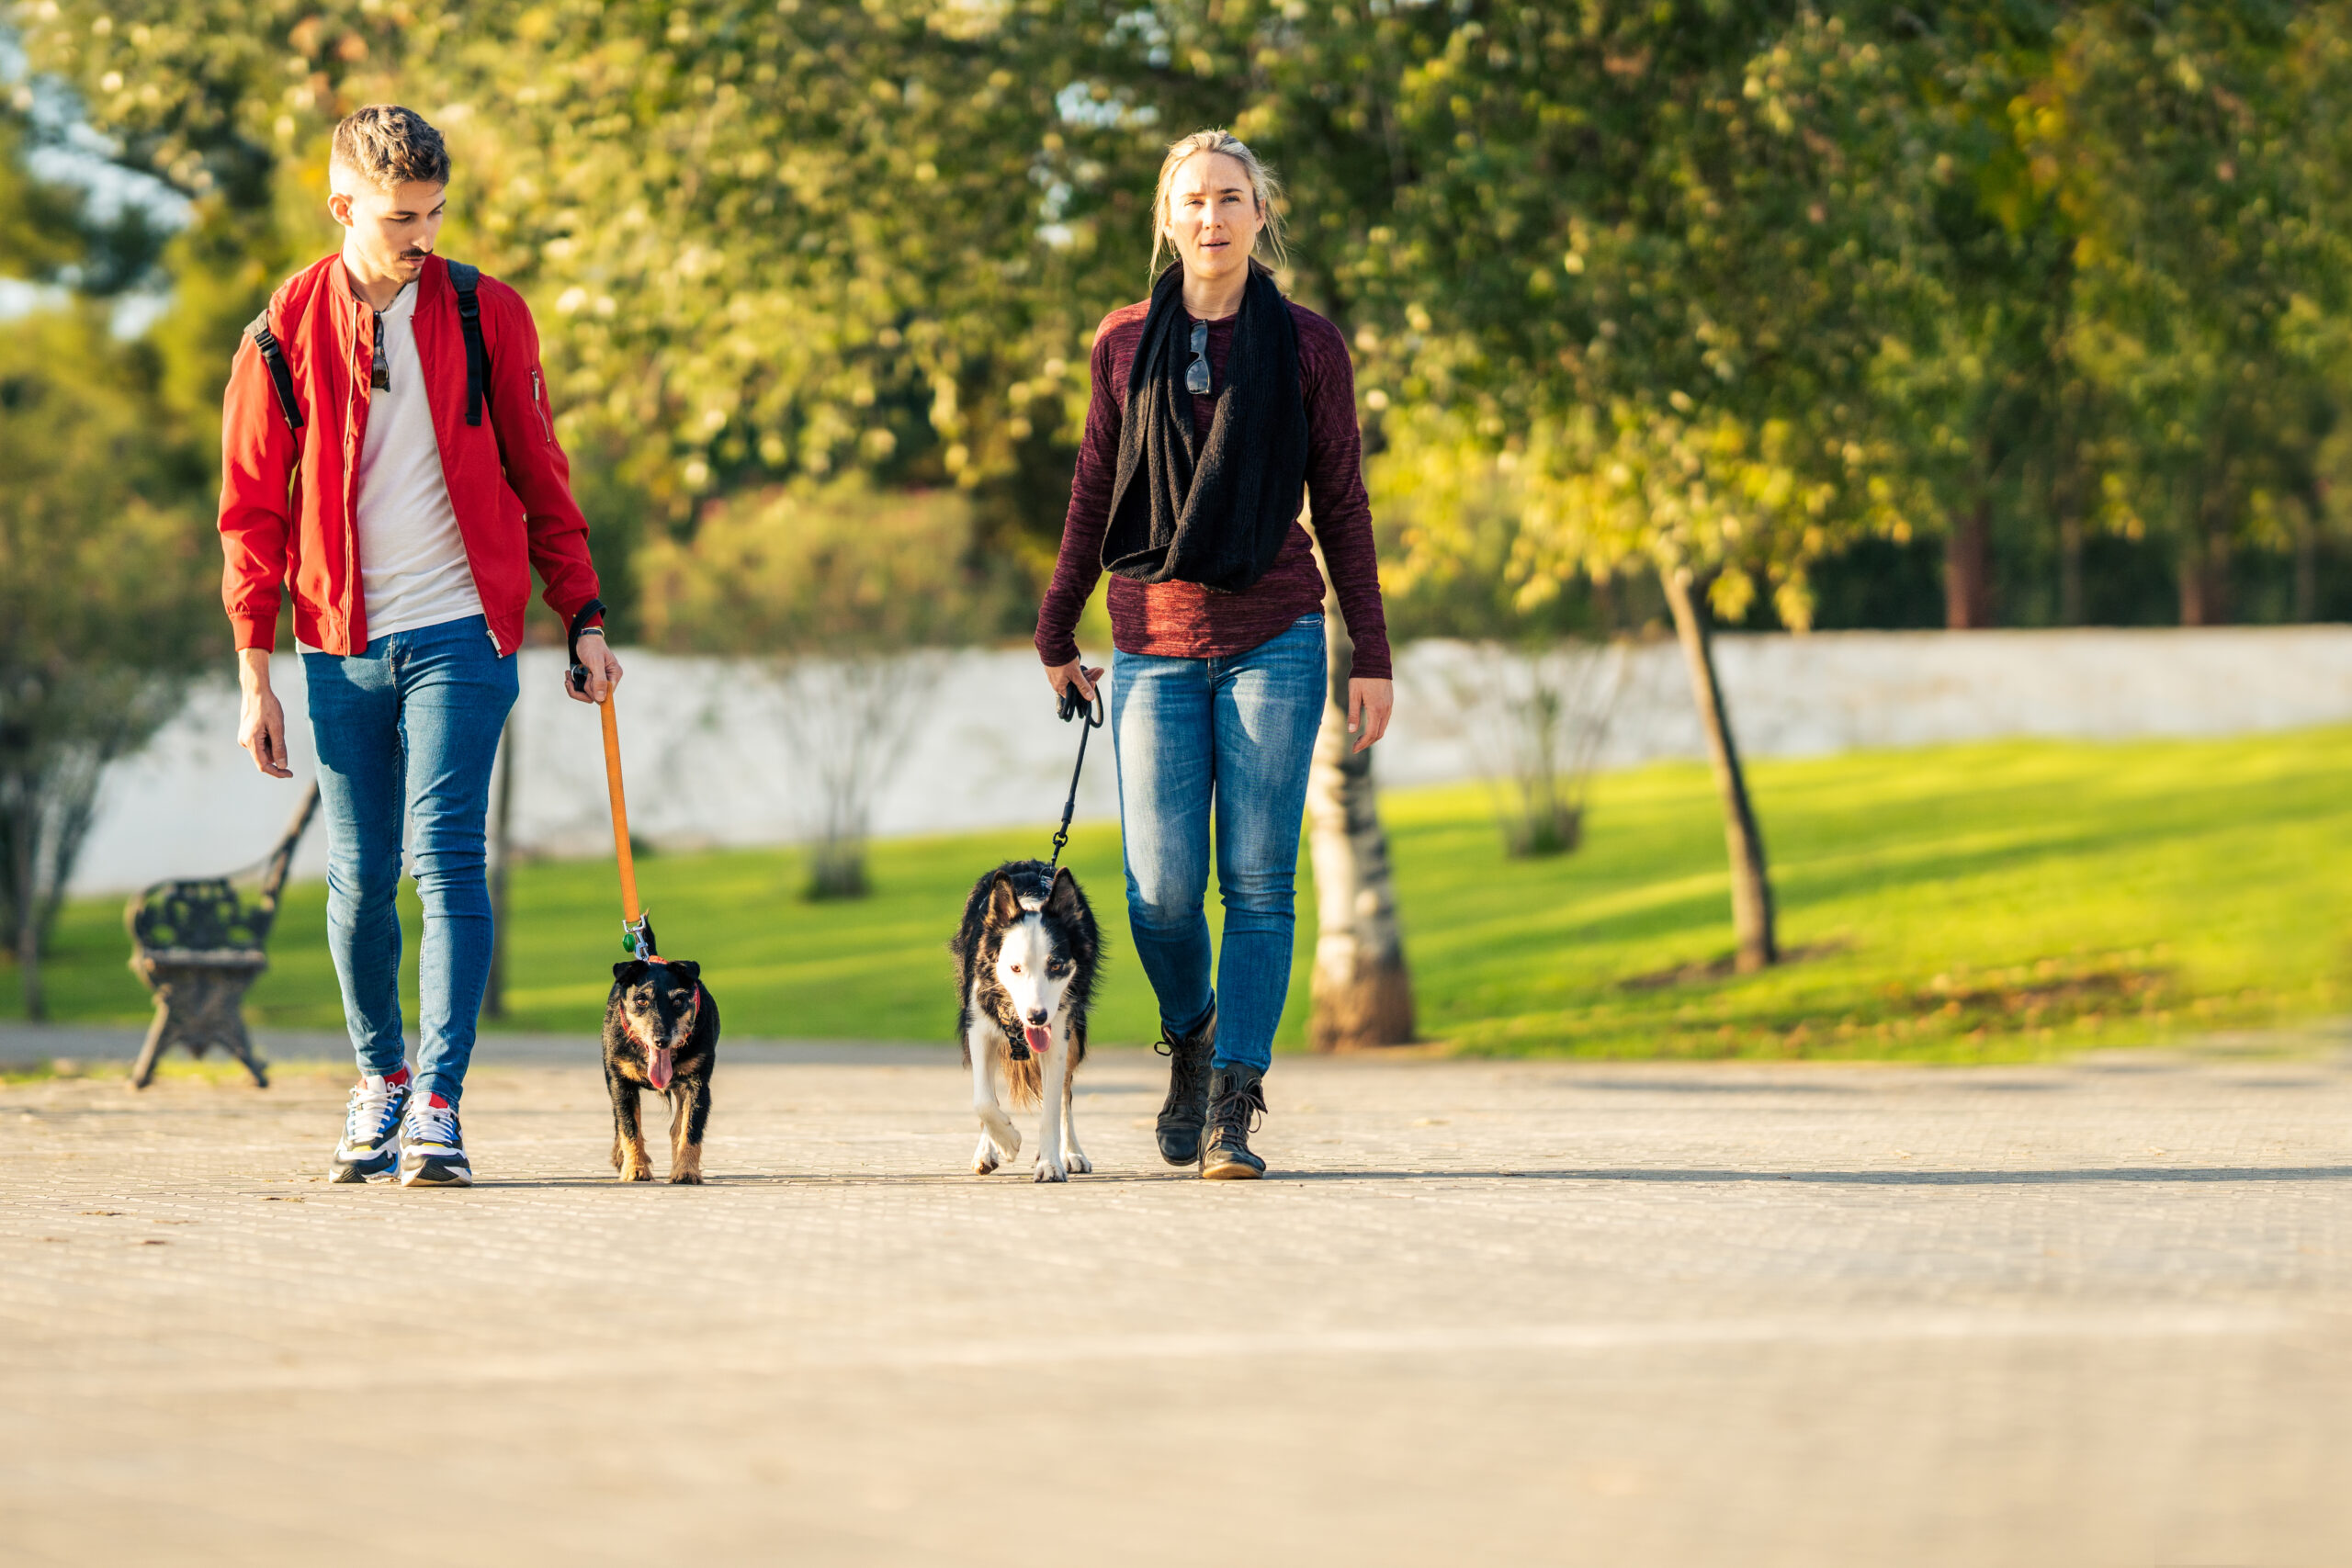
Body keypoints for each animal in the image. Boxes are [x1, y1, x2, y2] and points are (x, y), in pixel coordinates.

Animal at [606, 949, 715, 1184]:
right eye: (641, 1000)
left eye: (678, 1000)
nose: (661, 1040)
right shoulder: (621, 1084)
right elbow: (629, 1127)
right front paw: (635, 1169)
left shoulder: (698, 1085)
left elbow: (690, 1130)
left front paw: (686, 1171)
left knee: (677, 1127)